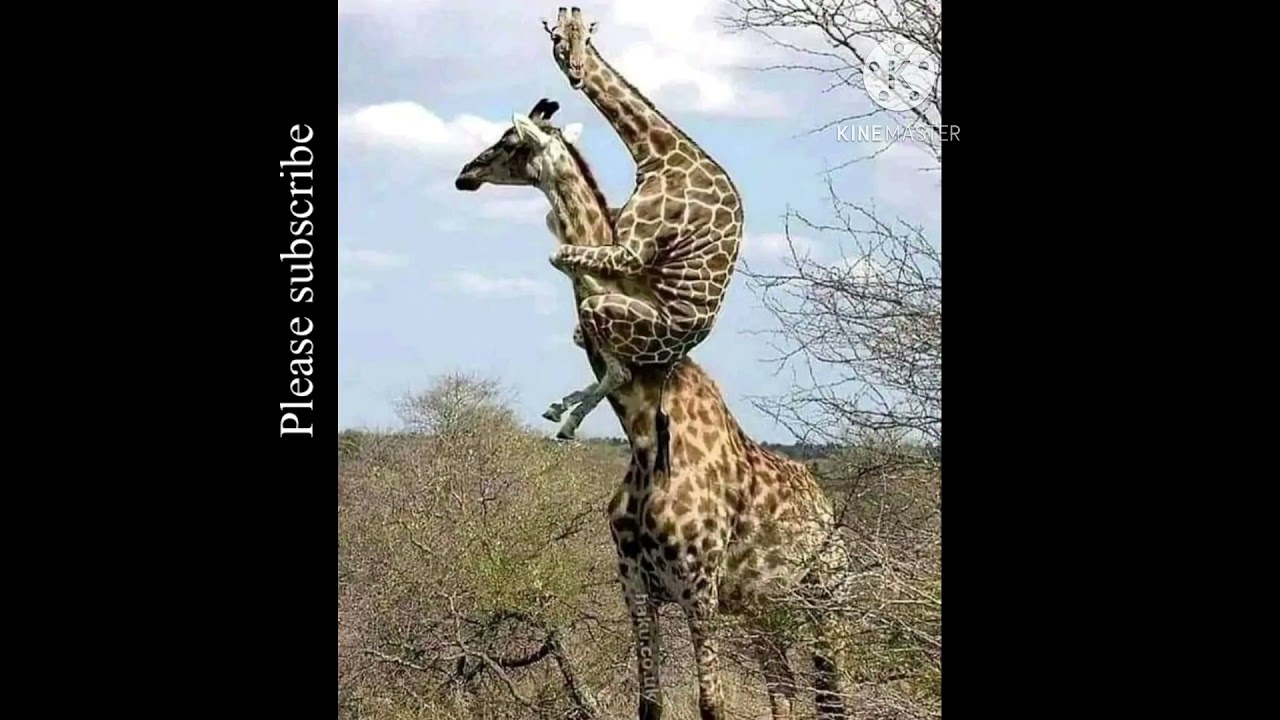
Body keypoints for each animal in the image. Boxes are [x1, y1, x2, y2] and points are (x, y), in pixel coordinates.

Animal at [454, 101, 852, 720]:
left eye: (508, 142)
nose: (464, 175)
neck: (642, 436)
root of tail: (828, 509)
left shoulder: (697, 587)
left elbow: (711, 703)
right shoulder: (635, 586)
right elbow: (651, 703)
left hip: (827, 601)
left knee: (831, 692)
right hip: (764, 609)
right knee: (784, 689)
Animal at [537, 6, 747, 443]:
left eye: (587, 40)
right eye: (558, 39)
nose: (577, 73)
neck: (657, 154)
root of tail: (681, 347)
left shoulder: (630, 251)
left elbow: (561, 254)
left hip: (620, 316)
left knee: (622, 367)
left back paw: (568, 419)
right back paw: (560, 410)